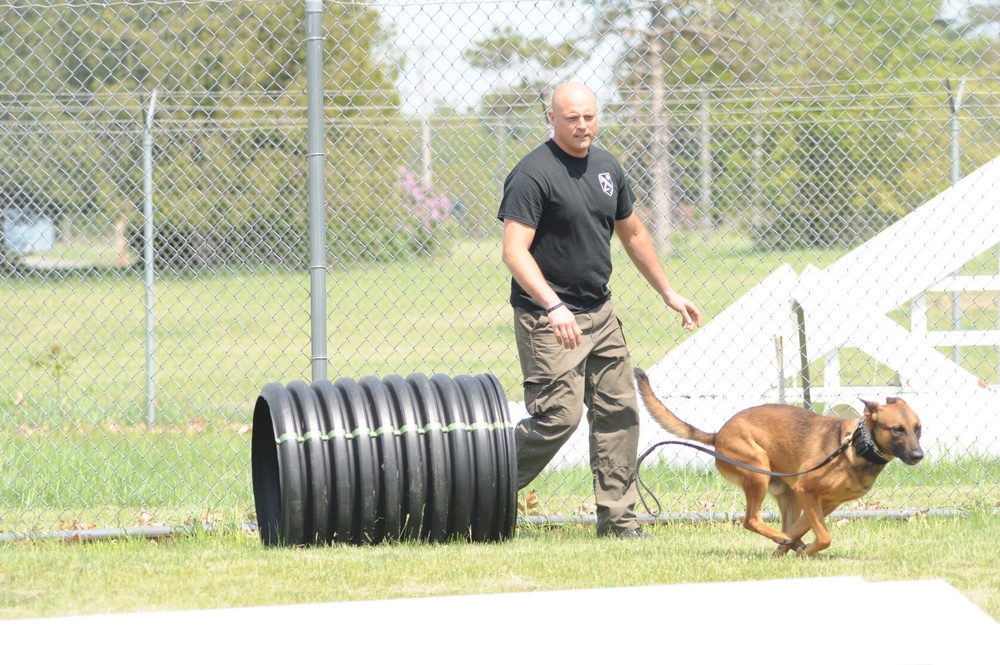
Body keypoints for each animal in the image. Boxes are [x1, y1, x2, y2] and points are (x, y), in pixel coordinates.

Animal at [636, 368, 924, 556]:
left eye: (918, 428)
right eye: (897, 430)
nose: (918, 456)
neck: (856, 446)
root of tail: (718, 434)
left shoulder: (825, 503)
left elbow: (806, 530)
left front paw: (797, 549)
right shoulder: (806, 491)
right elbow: (824, 536)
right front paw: (804, 550)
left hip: (787, 494)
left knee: (785, 526)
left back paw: (786, 544)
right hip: (758, 473)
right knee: (751, 520)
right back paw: (783, 540)